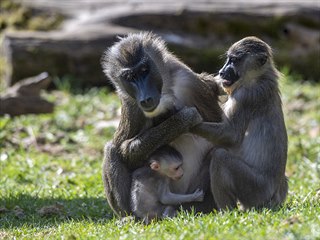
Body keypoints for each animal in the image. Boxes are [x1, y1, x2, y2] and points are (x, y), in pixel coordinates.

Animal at [101, 31, 221, 216]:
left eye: (144, 70)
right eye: (130, 77)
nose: (145, 98)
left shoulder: (190, 82)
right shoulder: (131, 104)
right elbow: (124, 149)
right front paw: (184, 118)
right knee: (111, 149)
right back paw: (130, 217)